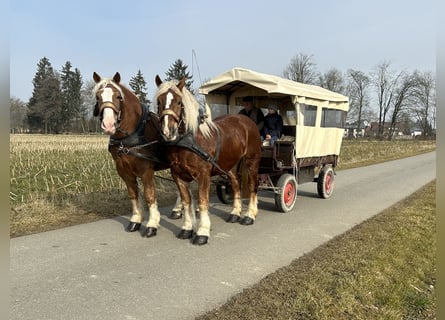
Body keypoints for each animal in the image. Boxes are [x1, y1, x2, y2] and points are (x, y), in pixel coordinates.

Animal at [93, 72, 183, 238]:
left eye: (118, 96)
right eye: (98, 96)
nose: (108, 125)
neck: (132, 133)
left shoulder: (146, 170)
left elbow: (149, 195)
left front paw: (152, 223)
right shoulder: (123, 170)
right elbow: (133, 194)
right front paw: (135, 220)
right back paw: (178, 210)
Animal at [154, 75, 262, 245]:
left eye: (178, 101)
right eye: (159, 101)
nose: (167, 131)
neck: (190, 141)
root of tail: (246, 121)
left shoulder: (203, 174)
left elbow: (202, 201)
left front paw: (202, 232)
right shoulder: (178, 175)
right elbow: (186, 201)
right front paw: (187, 228)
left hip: (252, 161)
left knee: (252, 185)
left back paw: (250, 215)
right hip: (230, 166)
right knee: (236, 185)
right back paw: (235, 213)